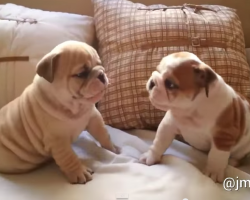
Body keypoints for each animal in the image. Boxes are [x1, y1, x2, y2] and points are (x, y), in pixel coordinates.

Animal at [0, 40, 118, 184]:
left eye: (100, 64)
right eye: (81, 74)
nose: (101, 74)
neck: (75, 107)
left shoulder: (94, 118)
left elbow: (103, 134)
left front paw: (112, 149)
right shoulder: (58, 141)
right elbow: (69, 158)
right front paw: (79, 172)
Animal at [139, 51, 250, 183]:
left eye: (170, 84)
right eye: (157, 70)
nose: (152, 82)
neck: (193, 108)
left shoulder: (223, 137)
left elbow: (216, 157)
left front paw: (213, 172)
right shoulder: (167, 126)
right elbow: (159, 143)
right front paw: (151, 156)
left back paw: (233, 161)